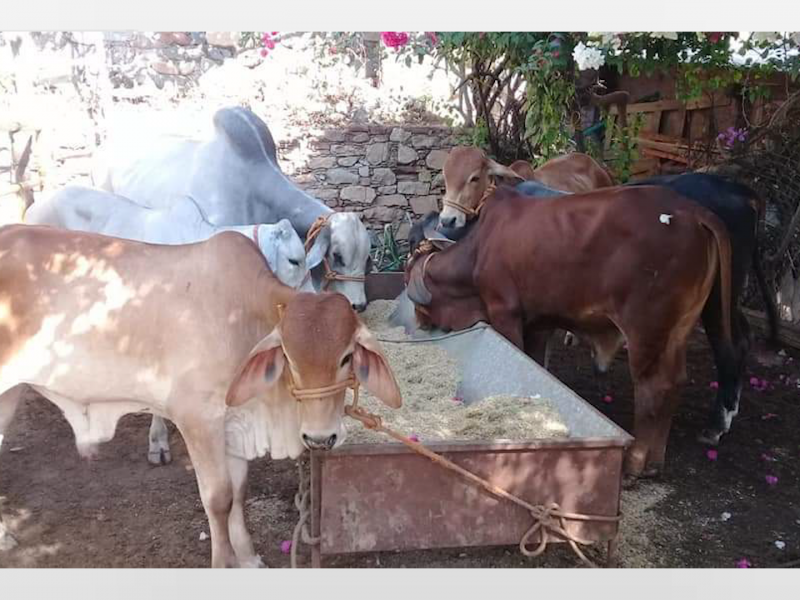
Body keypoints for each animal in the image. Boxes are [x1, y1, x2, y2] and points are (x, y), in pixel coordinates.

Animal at [0, 226, 400, 568]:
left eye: (346, 356)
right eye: (287, 355)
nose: (320, 437)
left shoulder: (233, 424)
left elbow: (239, 490)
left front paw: (248, 558)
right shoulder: (197, 418)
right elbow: (219, 497)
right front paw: (224, 563)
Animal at [406, 186, 732, 478]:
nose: (419, 323)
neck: (478, 249)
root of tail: (690, 211)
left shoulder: (504, 312)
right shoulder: (539, 323)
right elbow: (534, 363)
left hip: (645, 331)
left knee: (652, 389)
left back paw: (635, 465)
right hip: (678, 331)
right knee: (675, 383)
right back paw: (655, 463)